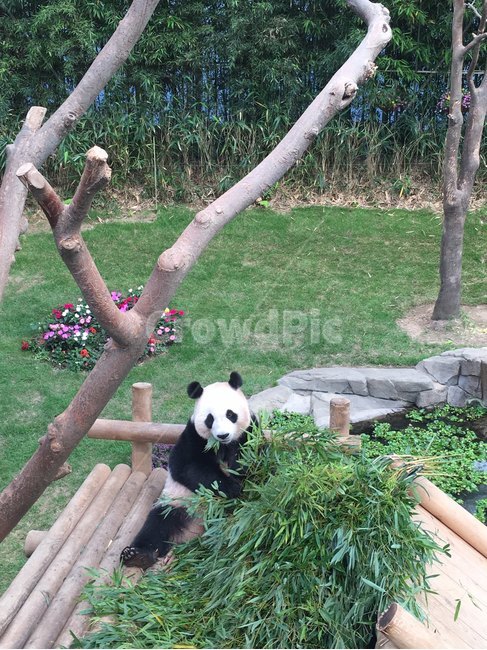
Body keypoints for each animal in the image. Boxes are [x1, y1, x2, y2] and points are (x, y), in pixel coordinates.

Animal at [120, 371, 257, 569]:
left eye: (231, 414)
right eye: (210, 419)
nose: (223, 435)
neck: (222, 445)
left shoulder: (249, 432)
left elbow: (251, 457)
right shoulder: (192, 436)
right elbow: (188, 467)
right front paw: (232, 487)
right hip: (177, 504)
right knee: (157, 524)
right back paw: (137, 556)